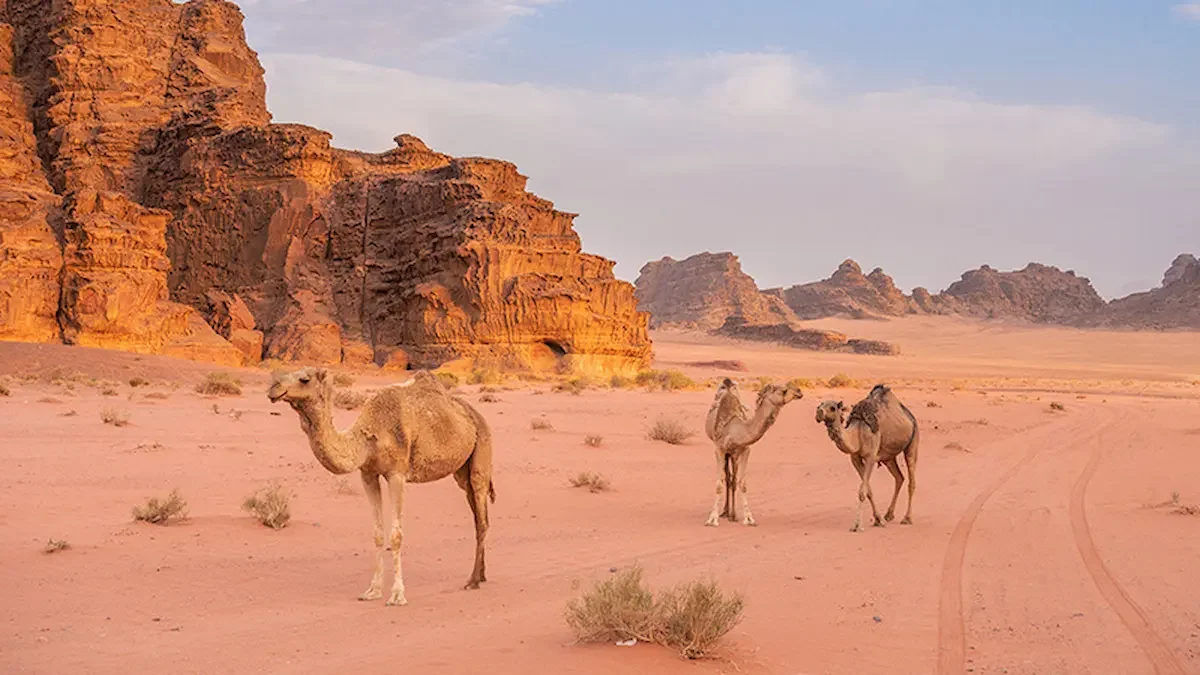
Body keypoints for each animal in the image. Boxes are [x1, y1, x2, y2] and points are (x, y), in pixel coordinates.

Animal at [267, 367, 495, 606]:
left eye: (304, 379)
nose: (273, 388)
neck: (367, 439)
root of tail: (475, 415)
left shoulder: (397, 474)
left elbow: (396, 535)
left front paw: (397, 595)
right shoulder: (368, 474)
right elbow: (377, 533)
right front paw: (372, 590)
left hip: (482, 451)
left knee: (481, 516)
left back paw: (472, 581)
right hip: (462, 473)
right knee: (477, 513)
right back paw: (481, 575)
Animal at [704, 379, 804, 527]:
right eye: (782, 390)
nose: (799, 391)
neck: (734, 429)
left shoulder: (745, 450)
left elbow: (743, 484)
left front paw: (749, 518)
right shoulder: (719, 449)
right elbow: (719, 485)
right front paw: (712, 519)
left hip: (734, 455)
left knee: (732, 479)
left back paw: (732, 514)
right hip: (726, 453)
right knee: (728, 478)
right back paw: (725, 512)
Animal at [814, 384, 918, 532]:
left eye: (833, 407)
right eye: (820, 404)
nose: (819, 412)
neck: (857, 432)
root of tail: (910, 416)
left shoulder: (871, 457)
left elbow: (862, 491)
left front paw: (857, 525)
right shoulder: (855, 459)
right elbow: (868, 490)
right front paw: (878, 520)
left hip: (913, 441)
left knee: (911, 479)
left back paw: (907, 518)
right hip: (888, 458)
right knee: (899, 477)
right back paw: (889, 515)